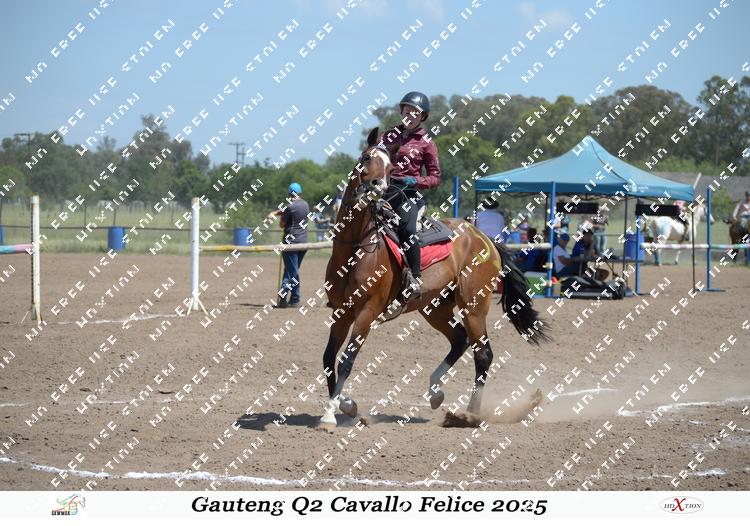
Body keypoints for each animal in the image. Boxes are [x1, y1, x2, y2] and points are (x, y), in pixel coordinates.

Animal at [319, 128, 550, 430]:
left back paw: (469, 415)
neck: (357, 248)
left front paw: (331, 413)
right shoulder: (341, 313)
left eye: (391, 168)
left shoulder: (366, 313)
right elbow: (329, 358)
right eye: (366, 158)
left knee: (483, 353)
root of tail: (483, 238)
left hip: (473, 307)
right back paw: (435, 393)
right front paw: (343, 407)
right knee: (460, 341)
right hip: (435, 308)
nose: (377, 186)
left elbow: (346, 360)